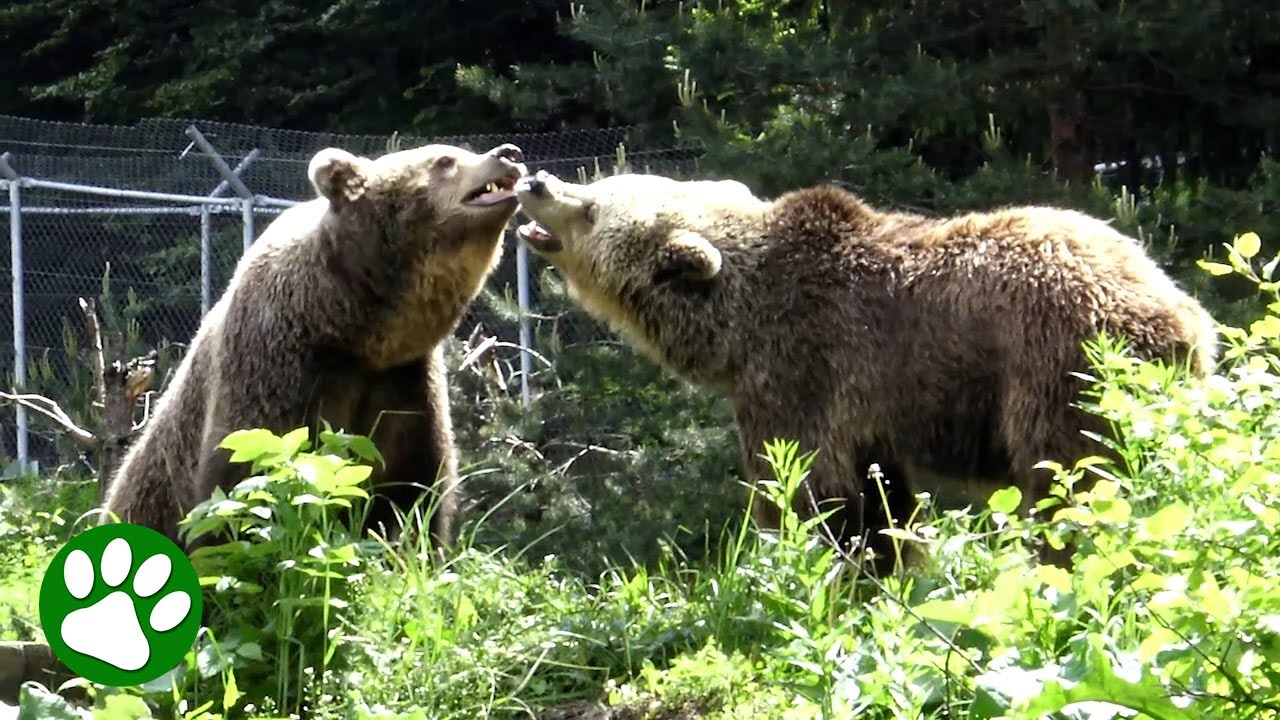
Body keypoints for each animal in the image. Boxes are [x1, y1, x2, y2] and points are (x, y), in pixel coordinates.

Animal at [100, 141, 528, 555]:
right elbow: (245, 484)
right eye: (445, 160)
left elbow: (410, 494)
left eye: (463, 150)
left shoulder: (403, 383)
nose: (508, 153)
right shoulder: (279, 365)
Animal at [512, 169, 1219, 572]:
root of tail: (1180, 312)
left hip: (1060, 367)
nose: (535, 180)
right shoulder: (867, 416)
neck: (736, 323)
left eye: (594, 206)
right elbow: (881, 501)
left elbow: (810, 492)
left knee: (1071, 482)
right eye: (601, 184)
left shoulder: (805, 372)